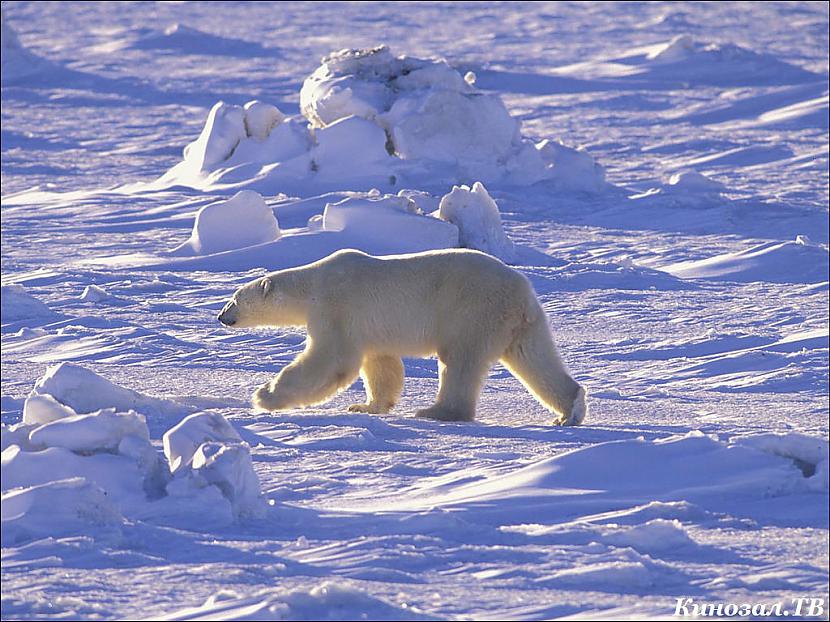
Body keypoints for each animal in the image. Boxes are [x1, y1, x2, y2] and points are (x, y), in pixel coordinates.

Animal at [218, 251, 588, 426]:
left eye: (235, 298)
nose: (221, 317)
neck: (313, 284)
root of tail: (522, 293)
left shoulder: (336, 307)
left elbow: (332, 360)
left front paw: (264, 396)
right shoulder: (368, 328)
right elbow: (381, 365)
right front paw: (366, 405)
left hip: (471, 311)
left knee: (460, 361)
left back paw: (435, 411)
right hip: (521, 324)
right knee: (535, 358)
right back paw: (569, 410)